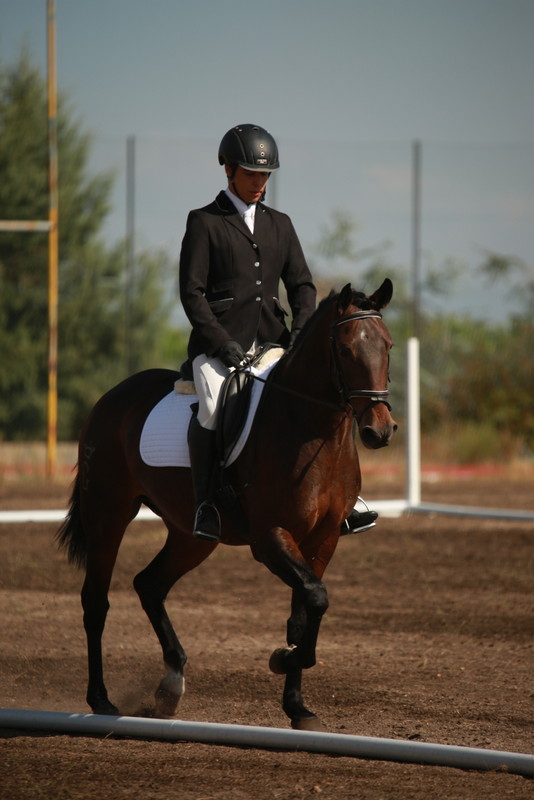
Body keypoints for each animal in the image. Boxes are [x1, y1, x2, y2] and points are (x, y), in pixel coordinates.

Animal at [57, 280, 398, 732]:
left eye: (389, 346)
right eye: (344, 350)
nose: (380, 430)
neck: (310, 429)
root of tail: (111, 398)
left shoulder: (324, 539)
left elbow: (308, 607)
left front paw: (297, 703)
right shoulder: (269, 537)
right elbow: (314, 597)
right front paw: (284, 658)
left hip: (192, 537)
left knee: (150, 584)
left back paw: (171, 686)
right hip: (108, 515)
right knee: (96, 602)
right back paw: (101, 700)